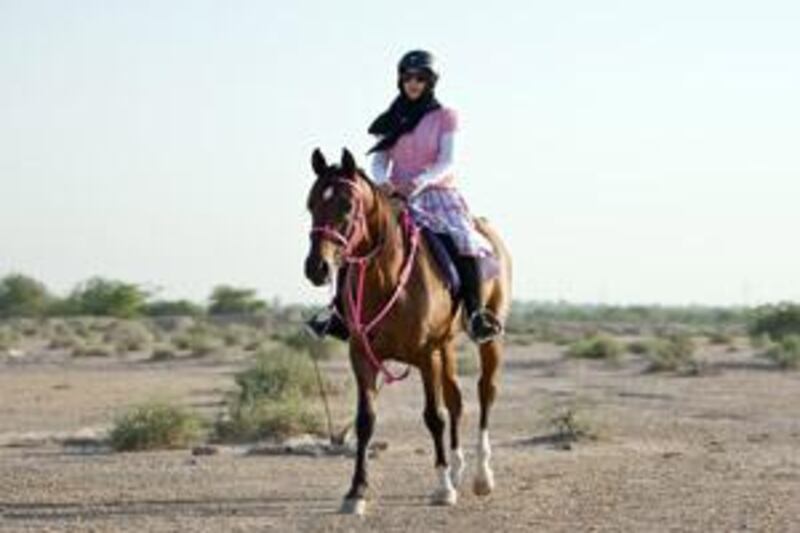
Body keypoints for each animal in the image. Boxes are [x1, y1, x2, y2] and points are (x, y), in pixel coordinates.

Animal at [304, 148, 510, 512]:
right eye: (311, 203)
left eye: (346, 205)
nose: (317, 268)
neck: (385, 278)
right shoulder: (363, 357)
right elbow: (365, 421)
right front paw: (356, 492)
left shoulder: (425, 356)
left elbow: (433, 416)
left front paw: (443, 488)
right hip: (446, 345)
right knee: (457, 399)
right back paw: (458, 469)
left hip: (487, 340)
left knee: (486, 392)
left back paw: (482, 477)